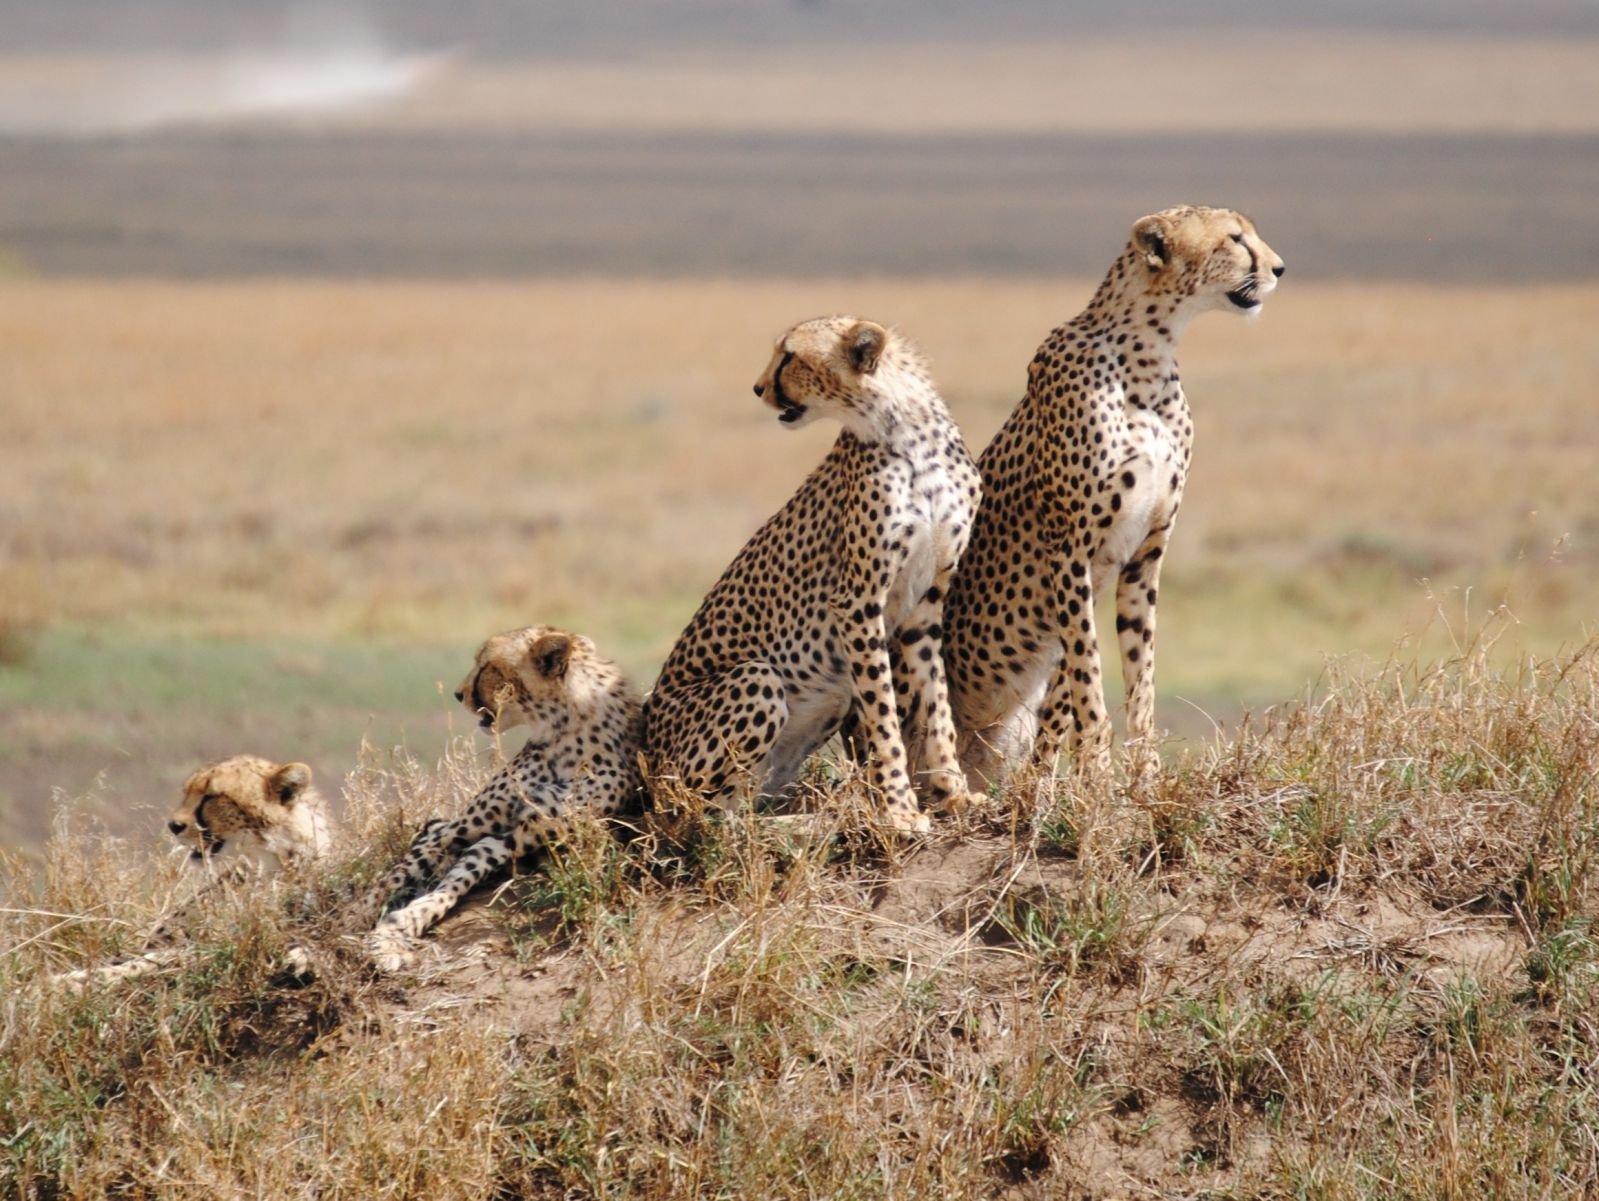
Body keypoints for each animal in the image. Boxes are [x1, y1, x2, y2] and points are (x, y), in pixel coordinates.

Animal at [370, 623, 645, 972]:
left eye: (486, 666)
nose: (458, 694)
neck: (564, 728)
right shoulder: (463, 827)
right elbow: (390, 881)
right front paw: (360, 924)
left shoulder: (516, 836)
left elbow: (457, 880)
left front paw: (403, 923)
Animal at [642, 315, 978, 831]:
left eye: (790, 357)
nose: (758, 388)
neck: (908, 433)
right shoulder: (857, 601)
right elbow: (884, 717)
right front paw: (900, 810)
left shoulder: (925, 605)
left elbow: (935, 702)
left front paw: (954, 792)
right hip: (756, 679)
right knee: (702, 819)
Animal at [940, 206, 1279, 790]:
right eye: (1235, 238)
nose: (1280, 267)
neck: (1149, 354)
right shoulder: (1069, 550)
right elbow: (1088, 676)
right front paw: (1096, 772)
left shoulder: (1144, 557)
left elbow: (1128, 680)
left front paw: (1136, 777)